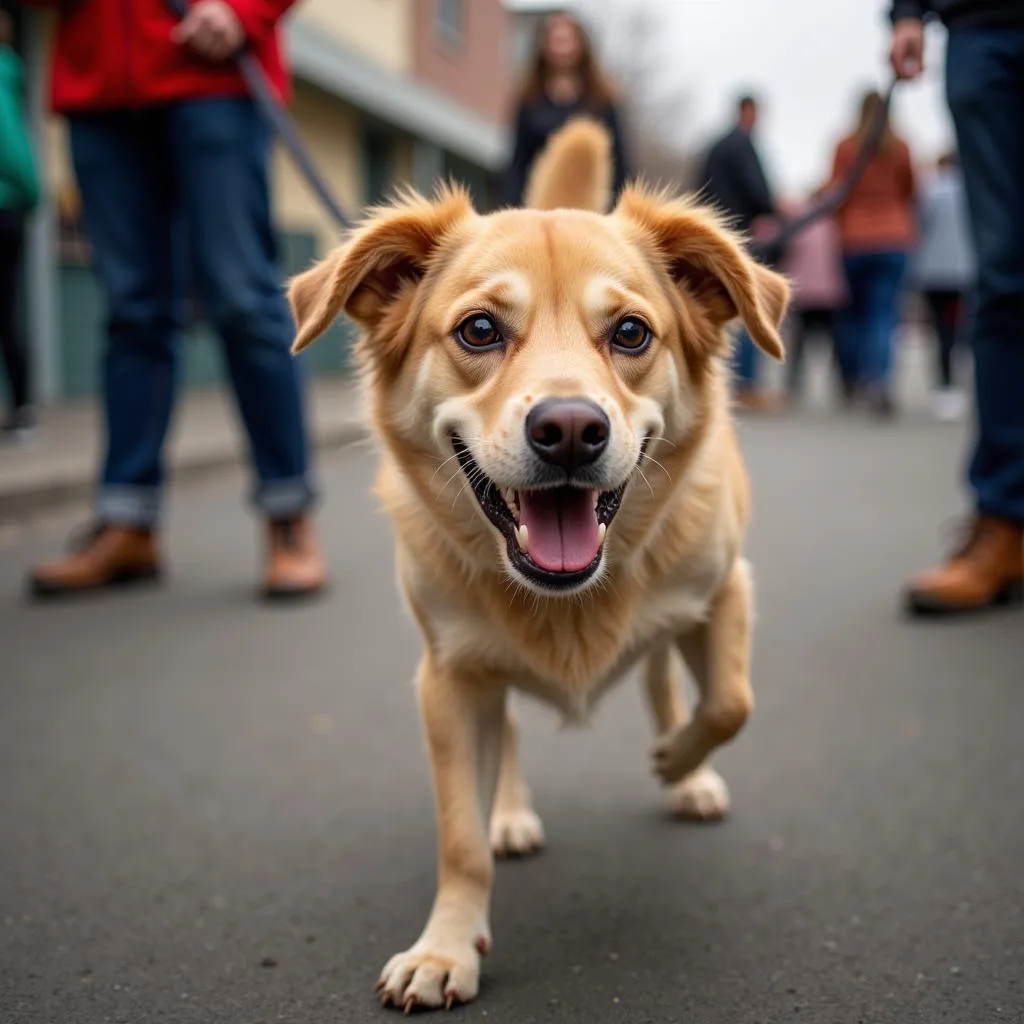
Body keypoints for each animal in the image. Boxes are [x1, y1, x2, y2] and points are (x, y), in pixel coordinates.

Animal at [292, 117, 786, 1007]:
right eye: (480, 330)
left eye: (630, 332)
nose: (569, 430)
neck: (569, 596)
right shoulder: (449, 679)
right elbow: (458, 839)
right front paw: (446, 947)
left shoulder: (726, 589)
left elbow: (731, 701)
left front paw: (676, 759)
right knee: (516, 729)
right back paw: (511, 812)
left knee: (665, 680)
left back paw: (683, 771)